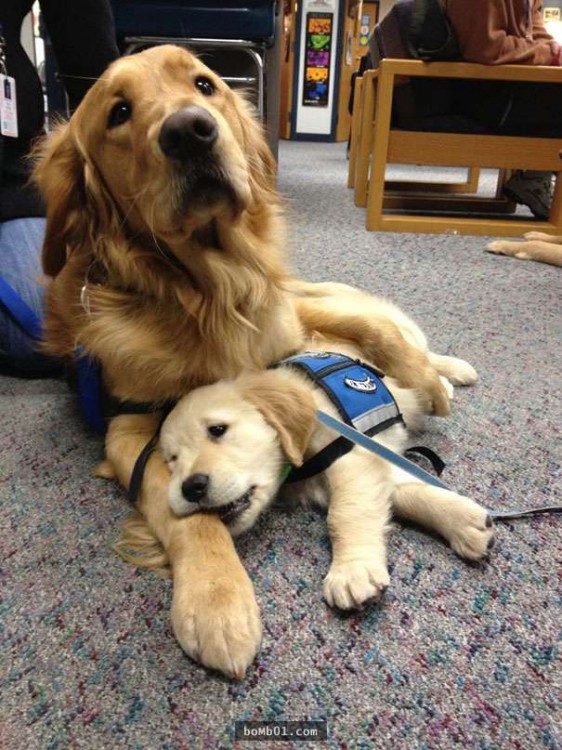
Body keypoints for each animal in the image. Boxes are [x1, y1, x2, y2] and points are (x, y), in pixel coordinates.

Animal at [31, 45, 456, 680]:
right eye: (119, 112)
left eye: (204, 85)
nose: (189, 130)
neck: (207, 292)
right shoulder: (129, 428)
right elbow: (189, 514)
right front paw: (216, 601)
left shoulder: (285, 332)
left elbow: (370, 333)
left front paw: (425, 381)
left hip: (307, 296)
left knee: (375, 318)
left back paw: (447, 371)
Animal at [160, 340, 492, 612]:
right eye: (172, 460)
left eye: (217, 430)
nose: (191, 487)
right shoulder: (363, 468)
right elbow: (403, 494)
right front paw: (466, 522)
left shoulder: (351, 455)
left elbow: (344, 513)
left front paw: (352, 571)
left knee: (421, 356)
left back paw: (453, 376)